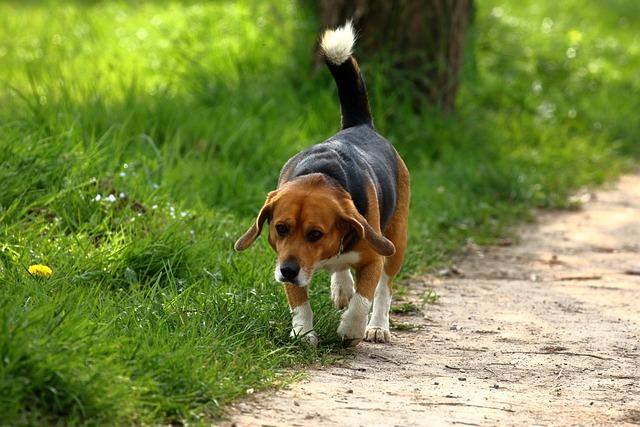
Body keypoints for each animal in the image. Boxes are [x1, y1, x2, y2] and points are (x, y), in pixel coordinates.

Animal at [235, 21, 410, 346]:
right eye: (281, 228)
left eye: (315, 234)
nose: (288, 271)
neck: (322, 174)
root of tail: (360, 125)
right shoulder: (285, 259)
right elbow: (299, 302)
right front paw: (303, 332)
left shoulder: (373, 259)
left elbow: (364, 298)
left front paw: (351, 328)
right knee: (341, 270)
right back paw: (341, 287)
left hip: (397, 239)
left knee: (384, 289)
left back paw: (378, 326)